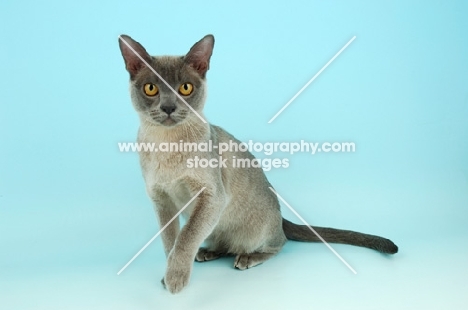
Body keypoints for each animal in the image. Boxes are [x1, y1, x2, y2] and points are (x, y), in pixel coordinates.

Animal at [119, 35, 396, 294]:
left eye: (185, 88)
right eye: (151, 88)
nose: (168, 107)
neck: (166, 145)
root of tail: (280, 214)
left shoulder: (211, 195)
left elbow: (186, 237)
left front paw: (175, 279)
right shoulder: (162, 200)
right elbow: (171, 241)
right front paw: (168, 277)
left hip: (249, 228)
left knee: (277, 243)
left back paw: (246, 258)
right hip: (215, 223)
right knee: (221, 242)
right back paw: (207, 252)